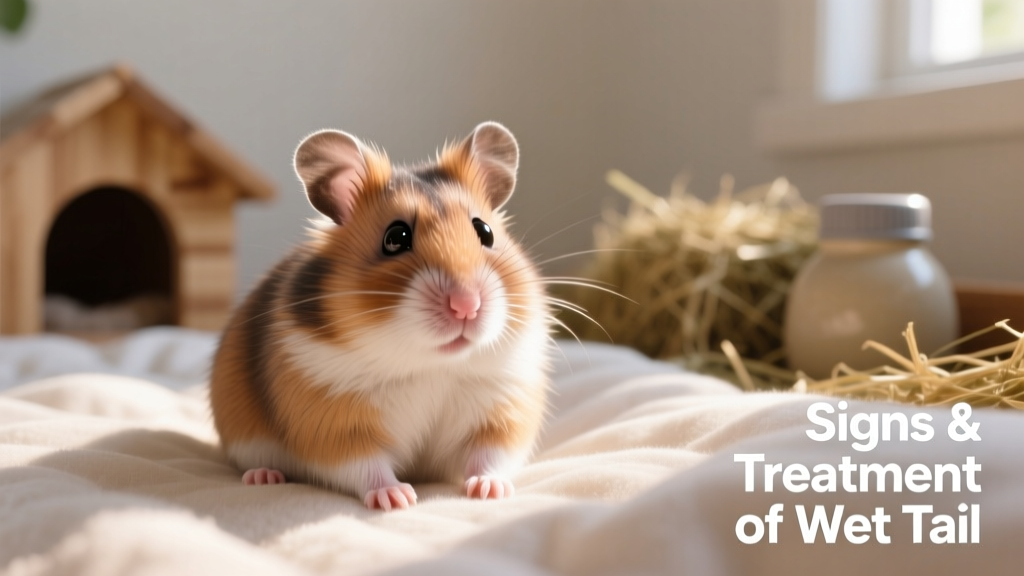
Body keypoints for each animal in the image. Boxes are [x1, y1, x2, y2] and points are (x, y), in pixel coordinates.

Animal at [209, 122, 551, 511]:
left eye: (485, 232)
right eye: (395, 237)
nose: (466, 305)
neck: (429, 365)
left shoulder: (502, 407)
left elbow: (489, 455)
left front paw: (490, 491)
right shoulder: (332, 420)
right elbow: (366, 465)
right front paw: (398, 498)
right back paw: (264, 477)